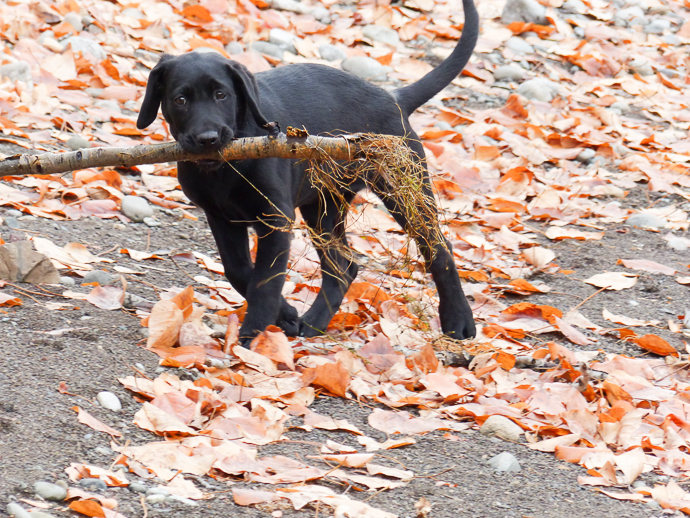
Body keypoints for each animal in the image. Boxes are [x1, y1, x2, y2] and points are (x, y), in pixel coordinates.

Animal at [136, 0, 479, 346]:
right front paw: (285, 314)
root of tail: (393, 98)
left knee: (439, 248)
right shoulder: (220, 217)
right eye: (180, 100)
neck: (225, 170)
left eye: (222, 95)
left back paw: (459, 321)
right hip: (323, 207)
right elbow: (239, 271)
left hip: (403, 190)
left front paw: (252, 334)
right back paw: (313, 322)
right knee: (343, 266)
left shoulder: (275, 218)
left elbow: (265, 280)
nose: (208, 139)